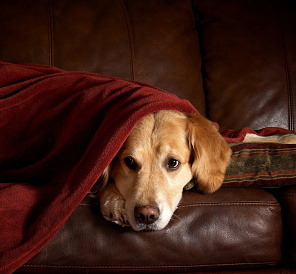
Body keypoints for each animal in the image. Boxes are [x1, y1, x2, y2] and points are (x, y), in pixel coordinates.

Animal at [95, 109, 296, 231]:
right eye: (129, 162)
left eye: (173, 163)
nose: (146, 216)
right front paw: (115, 203)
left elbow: (249, 137)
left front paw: (287, 138)